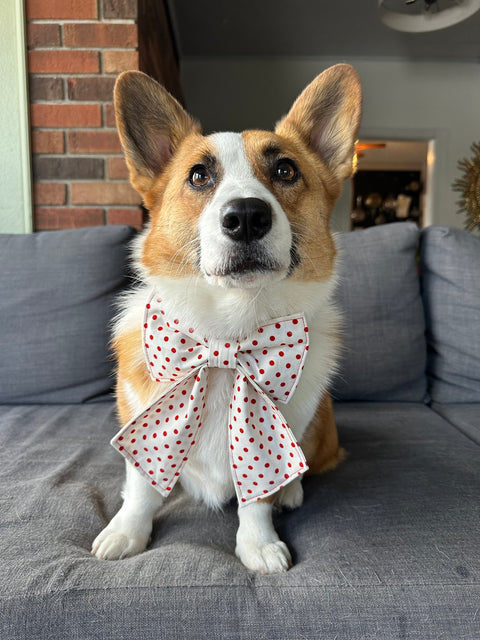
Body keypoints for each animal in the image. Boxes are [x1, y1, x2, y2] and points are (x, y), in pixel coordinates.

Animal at [91, 65, 360, 576]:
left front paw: (259, 545)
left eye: (285, 170)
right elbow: (141, 489)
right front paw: (125, 533)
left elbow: (257, 496)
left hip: (320, 423)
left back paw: (292, 492)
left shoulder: (266, 443)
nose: (247, 217)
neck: (228, 336)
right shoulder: (142, 428)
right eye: (199, 175)